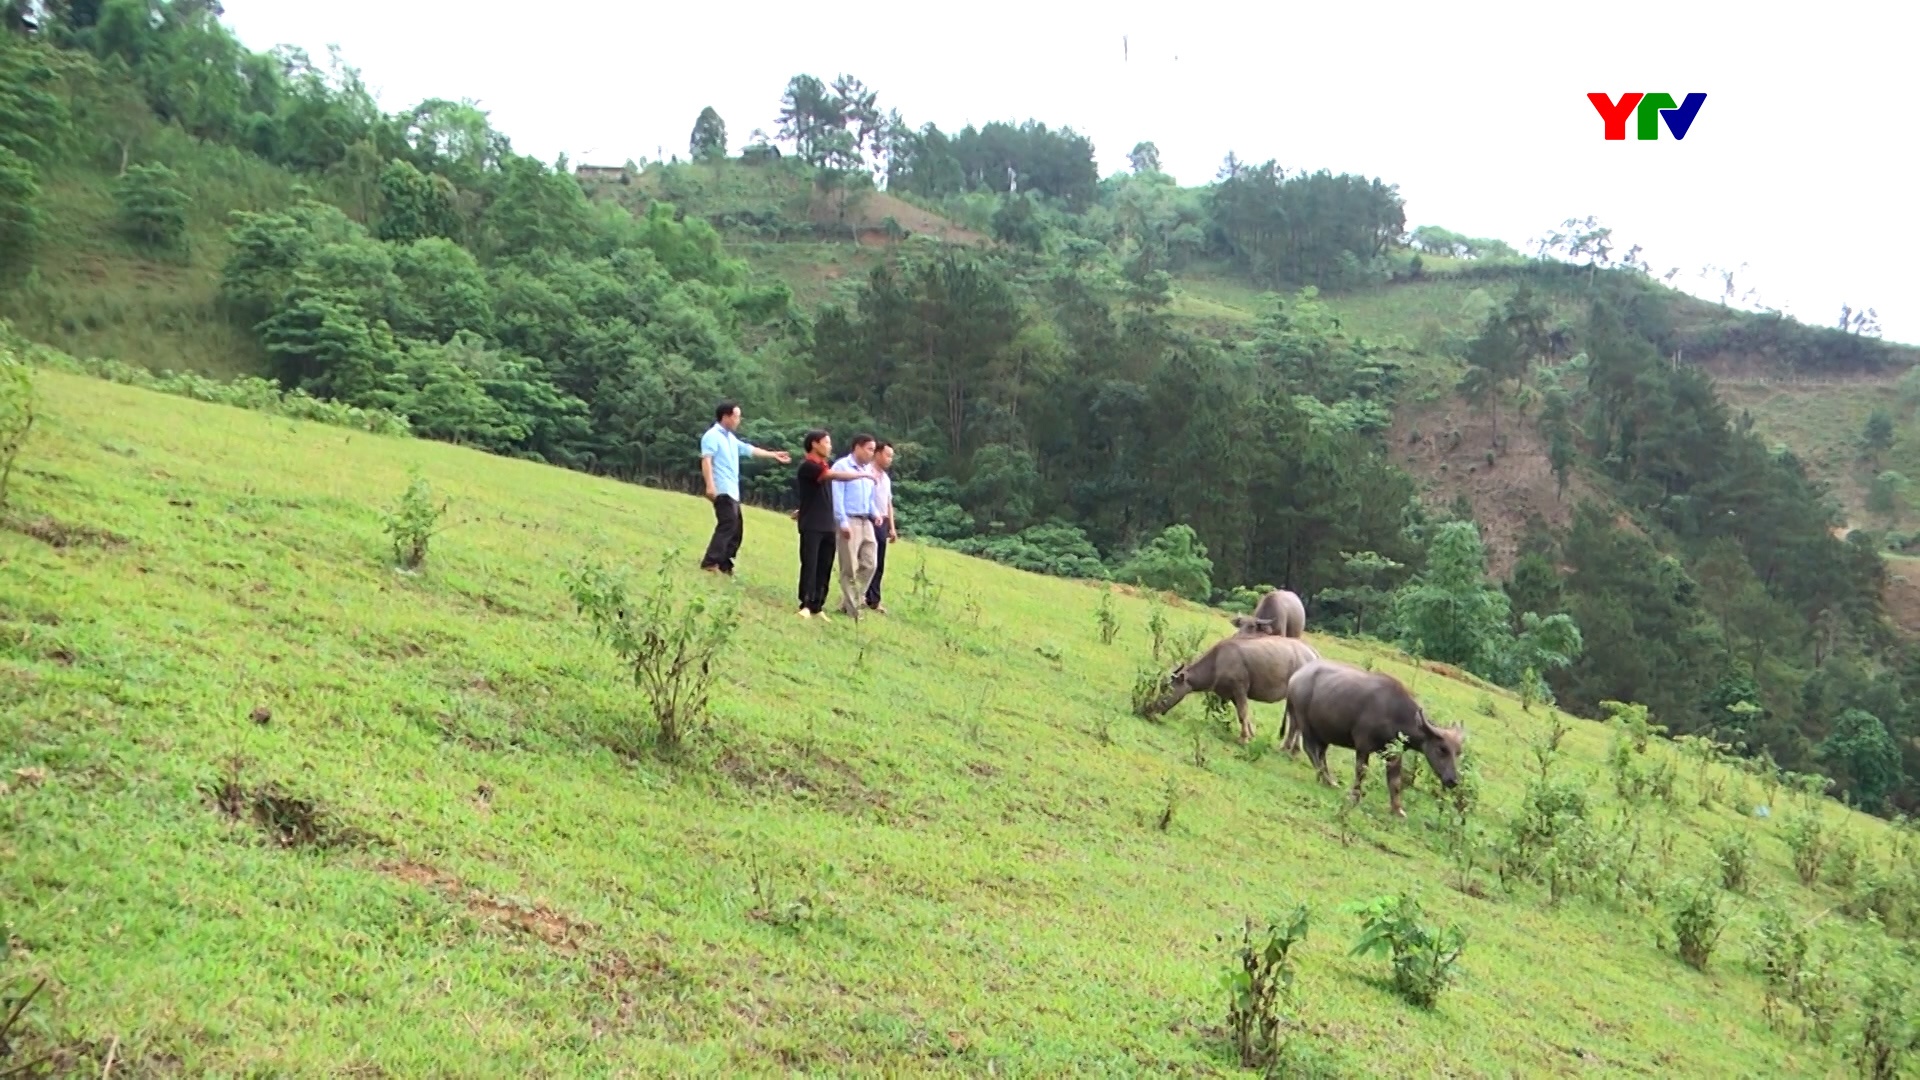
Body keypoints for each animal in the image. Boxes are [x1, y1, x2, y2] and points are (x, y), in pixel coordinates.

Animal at [1136, 630, 1320, 737]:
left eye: (1166, 688)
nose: (1150, 708)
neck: (1217, 662)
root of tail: (1313, 654)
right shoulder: (1231, 695)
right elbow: (1243, 714)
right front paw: (1251, 733)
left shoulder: (1239, 689)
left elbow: (1243, 713)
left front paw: (1244, 738)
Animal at [1282, 657, 1459, 814]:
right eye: (1442, 749)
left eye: (1458, 752)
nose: (1453, 780)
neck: (1395, 712)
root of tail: (1297, 675)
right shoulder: (1363, 745)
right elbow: (1361, 771)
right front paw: (1354, 797)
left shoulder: (1394, 753)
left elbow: (1395, 780)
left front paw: (1397, 810)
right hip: (1304, 722)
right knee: (1310, 749)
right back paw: (1327, 779)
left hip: (1324, 731)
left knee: (1321, 753)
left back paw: (1328, 780)